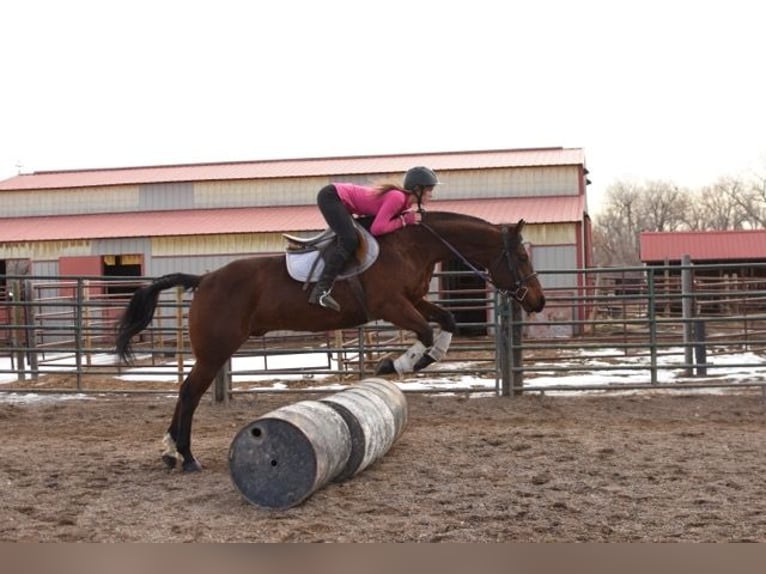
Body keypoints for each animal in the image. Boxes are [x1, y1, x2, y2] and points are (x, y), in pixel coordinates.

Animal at [112, 212, 544, 472]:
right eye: (522, 258)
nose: (538, 301)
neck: (413, 245)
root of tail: (203, 280)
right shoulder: (392, 305)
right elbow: (423, 331)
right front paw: (396, 364)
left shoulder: (413, 300)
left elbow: (447, 320)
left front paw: (423, 358)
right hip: (215, 351)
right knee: (189, 393)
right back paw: (185, 456)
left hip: (216, 352)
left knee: (187, 392)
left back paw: (170, 453)